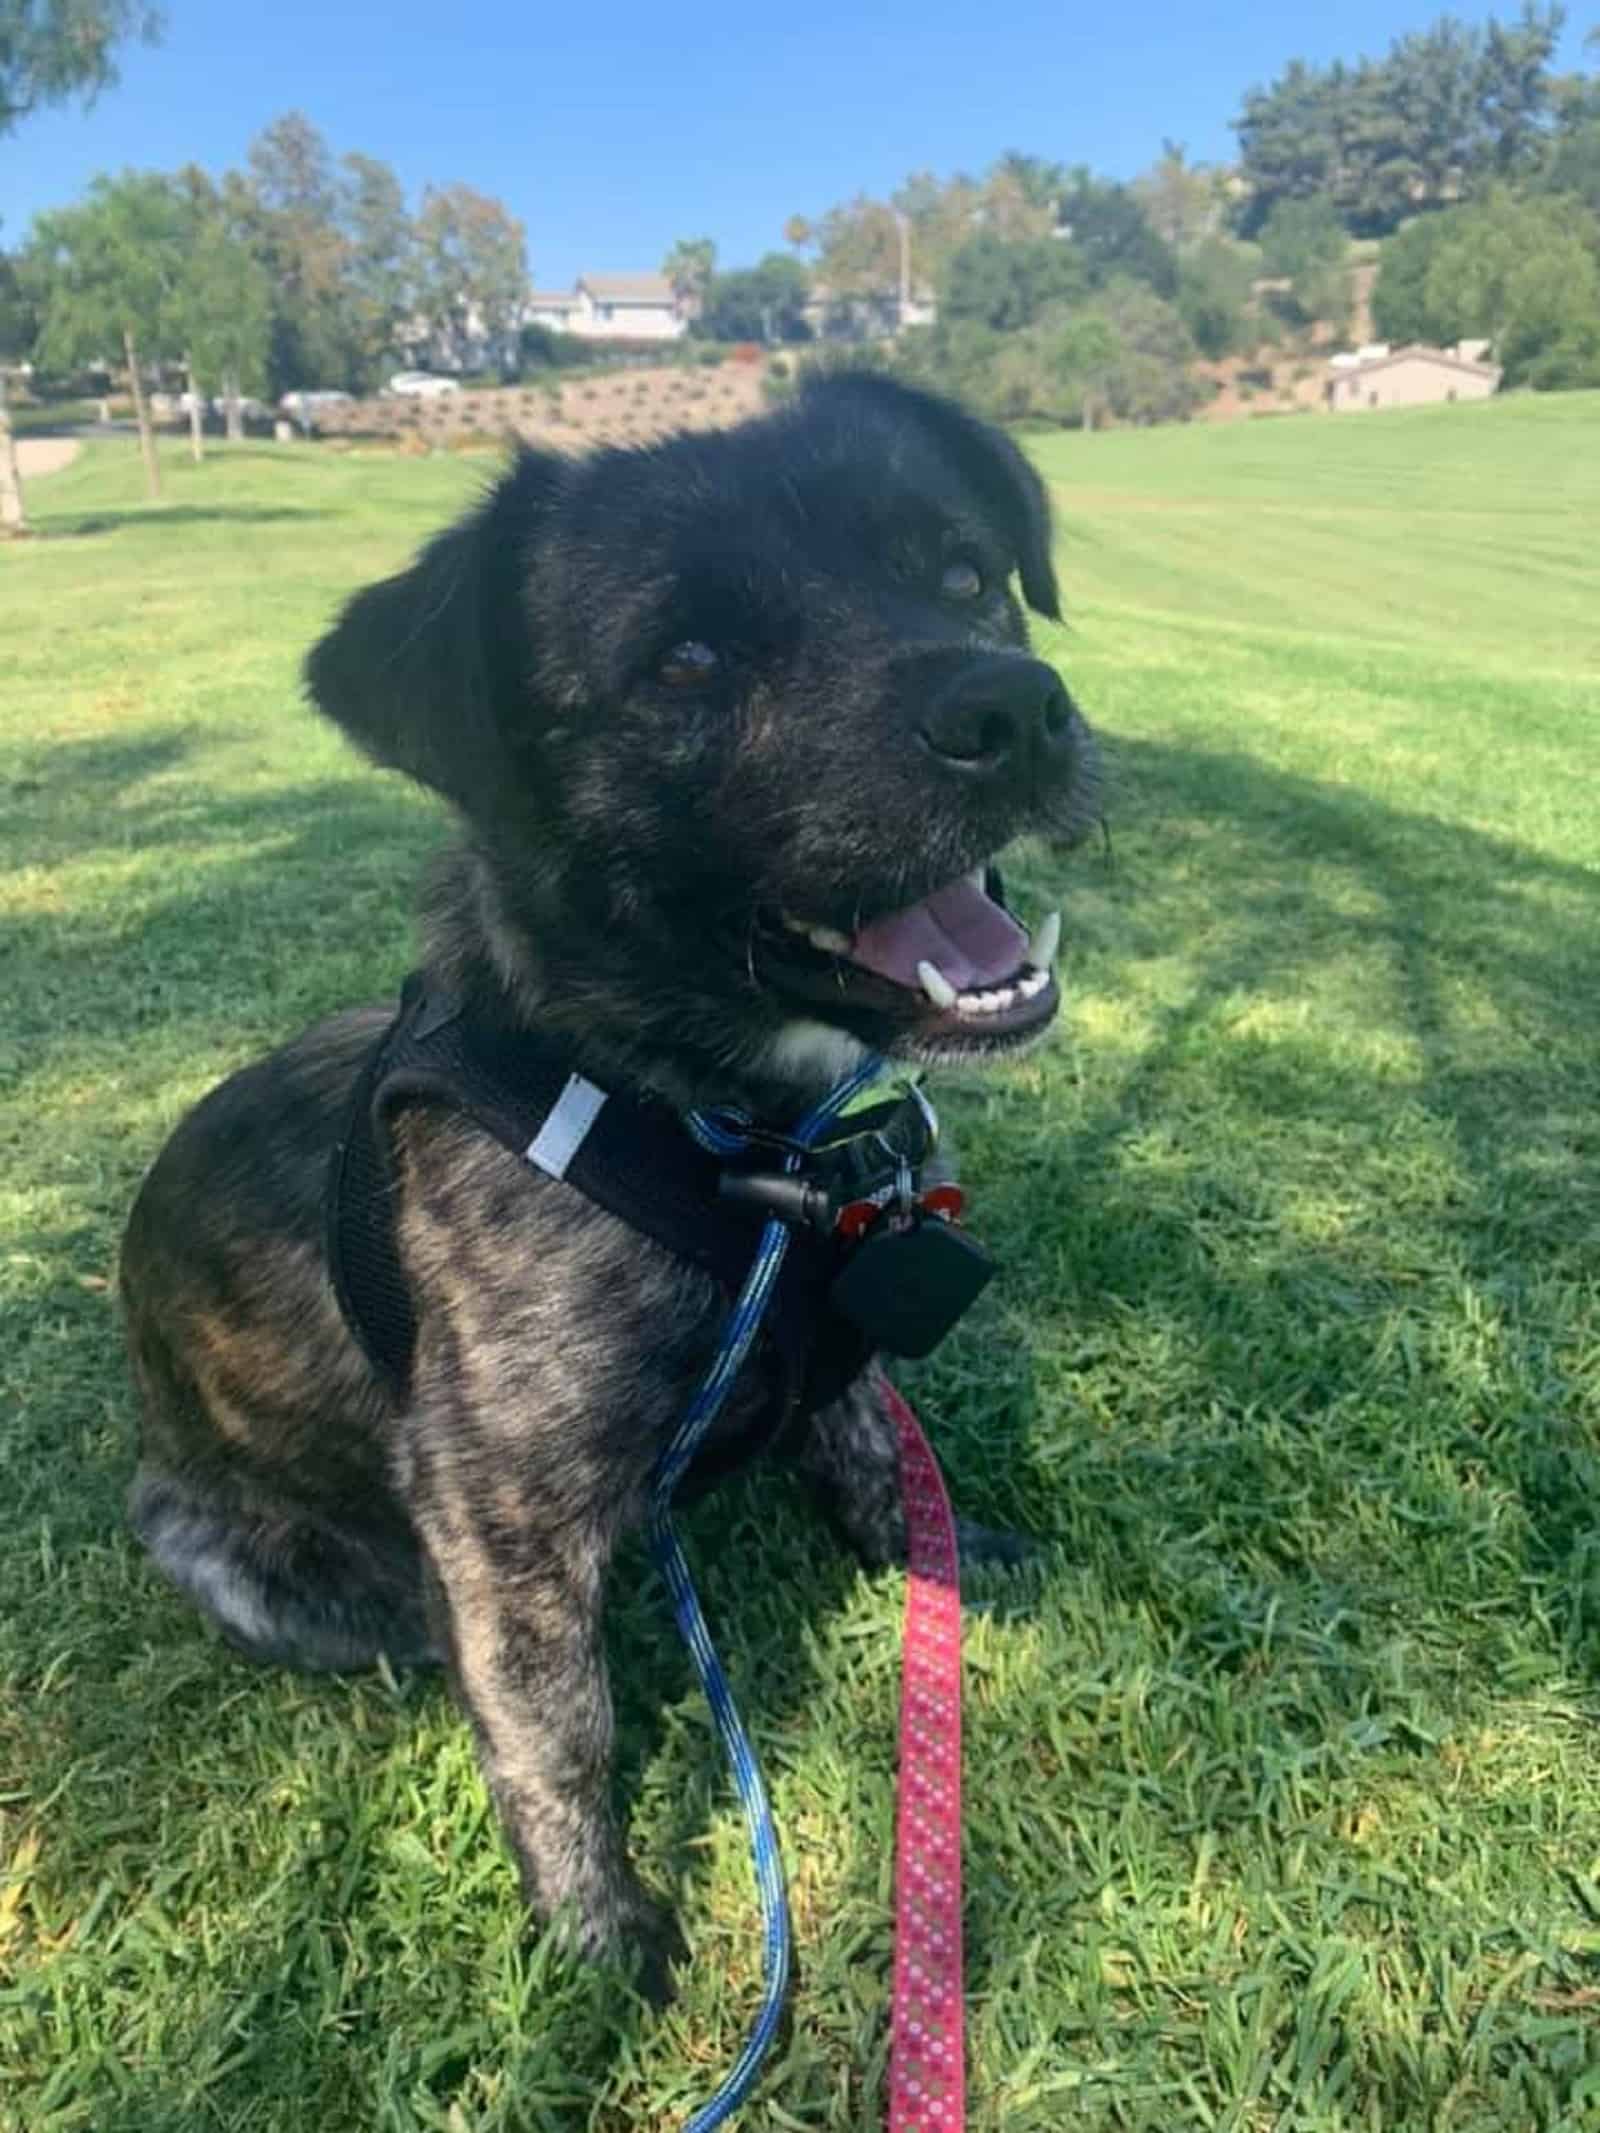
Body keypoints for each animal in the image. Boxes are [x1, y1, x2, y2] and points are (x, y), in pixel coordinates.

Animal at [118, 366, 1100, 1979]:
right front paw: (595, 1927)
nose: (1008, 708)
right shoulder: (497, 1517)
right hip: (243, 1560)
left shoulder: (838, 1346)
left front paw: (950, 1560)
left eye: (963, 576)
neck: (737, 1140)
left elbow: (874, 1455)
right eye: (686, 661)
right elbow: (551, 1723)